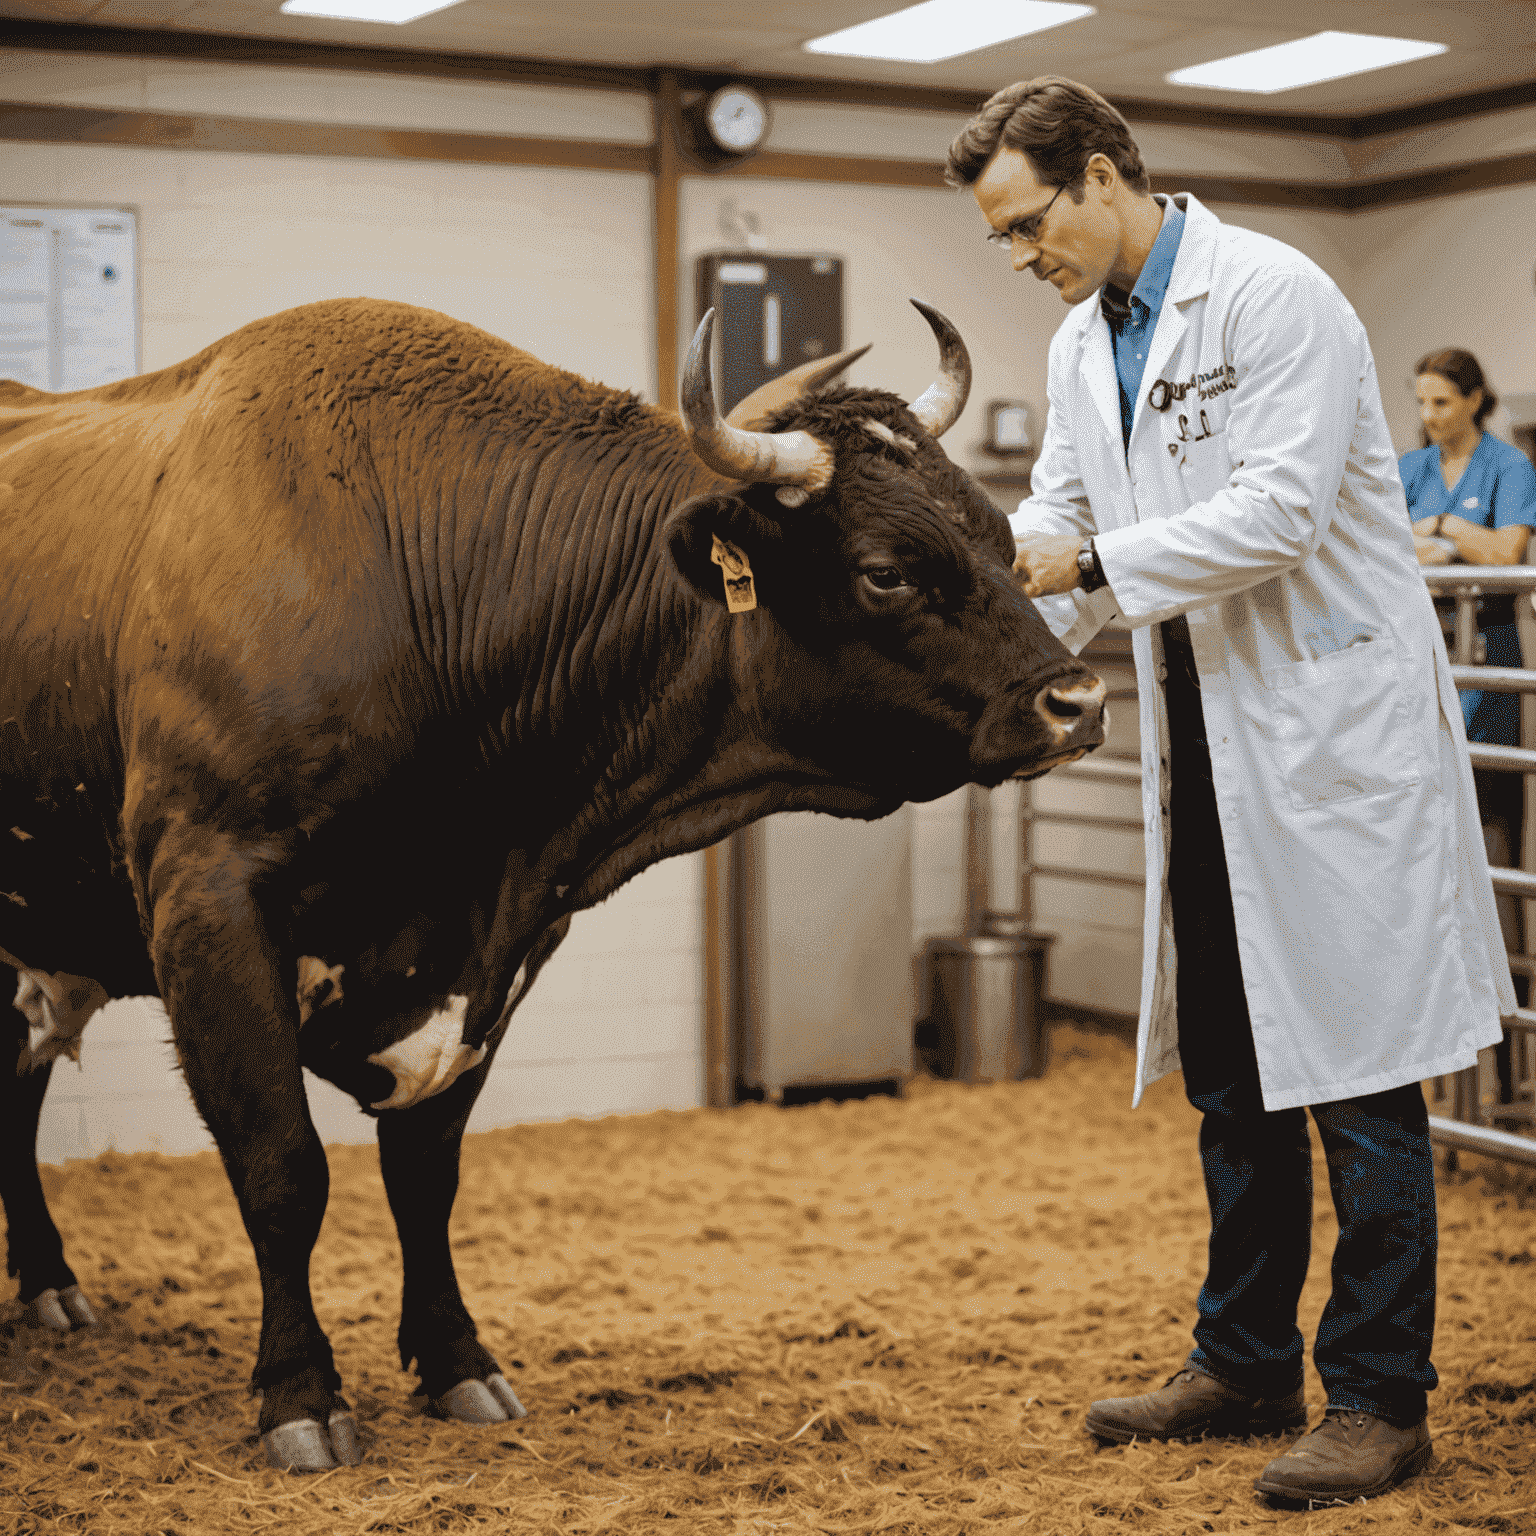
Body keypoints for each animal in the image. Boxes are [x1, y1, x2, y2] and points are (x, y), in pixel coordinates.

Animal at [0, 293, 1105, 1468]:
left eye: (1001, 540)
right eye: (886, 569)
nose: (1079, 700)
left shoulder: (502, 947)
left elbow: (425, 1175)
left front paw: (457, 1362)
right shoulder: (208, 901)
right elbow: (283, 1167)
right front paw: (300, 1395)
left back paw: (50, 1284)